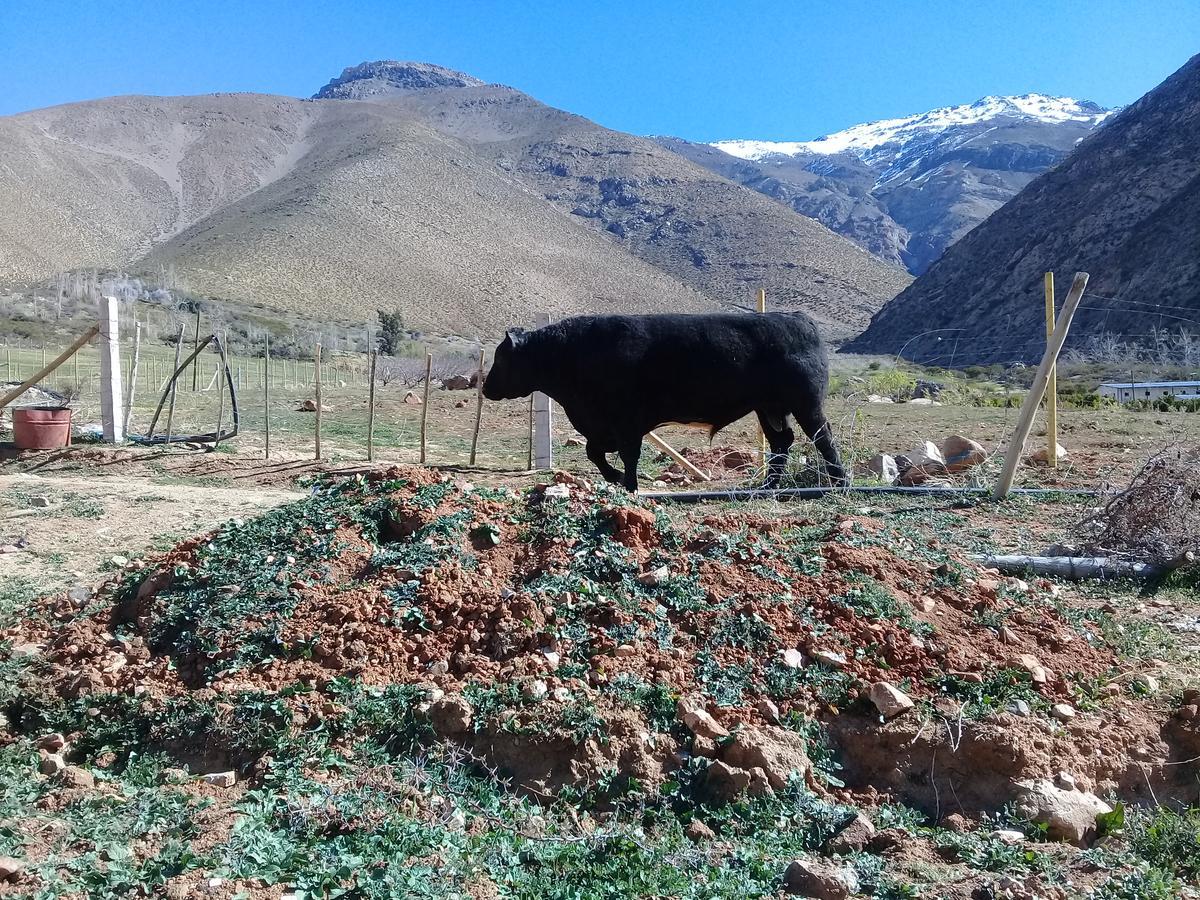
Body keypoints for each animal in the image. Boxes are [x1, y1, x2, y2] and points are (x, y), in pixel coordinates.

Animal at [482, 312, 849, 494]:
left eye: (500, 358)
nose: (485, 388)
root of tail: (799, 319)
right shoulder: (601, 426)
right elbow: (594, 452)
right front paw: (617, 478)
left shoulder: (626, 421)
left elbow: (627, 454)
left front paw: (628, 484)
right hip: (768, 408)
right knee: (781, 442)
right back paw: (768, 485)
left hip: (805, 404)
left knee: (822, 437)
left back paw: (840, 482)